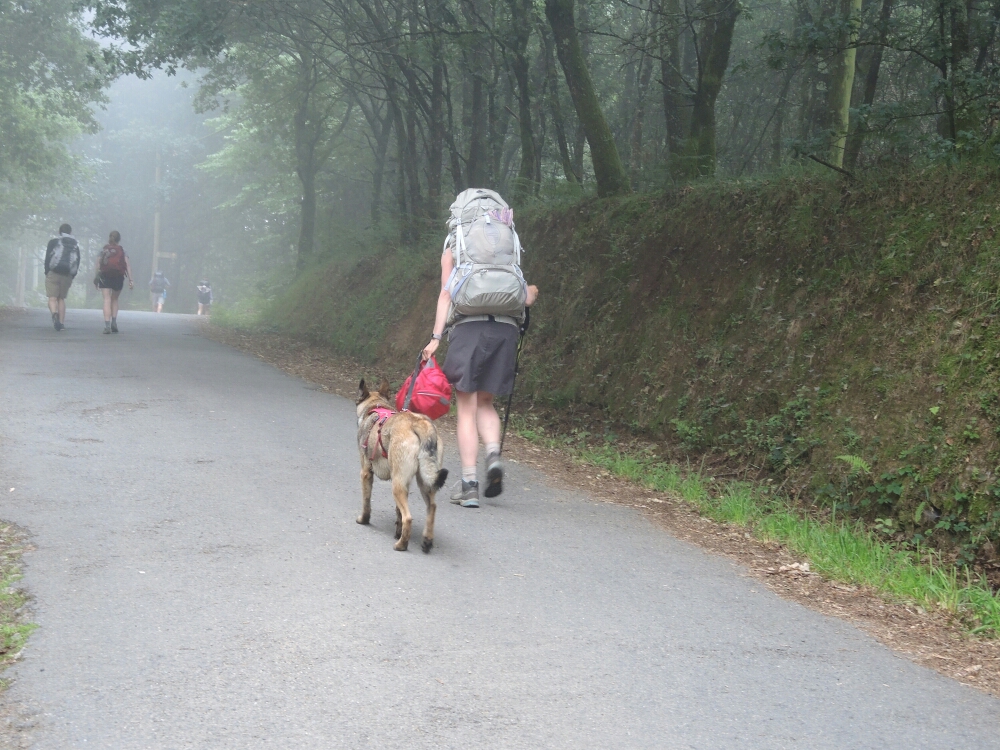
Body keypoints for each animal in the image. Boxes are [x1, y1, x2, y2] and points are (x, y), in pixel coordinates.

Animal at [352, 382, 446, 552]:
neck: (376, 406)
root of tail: (419, 422)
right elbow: (398, 512)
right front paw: (397, 531)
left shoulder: (366, 474)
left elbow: (366, 502)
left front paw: (364, 519)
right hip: (422, 483)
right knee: (432, 507)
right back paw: (426, 540)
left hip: (397, 485)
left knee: (408, 518)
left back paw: (402, 545)